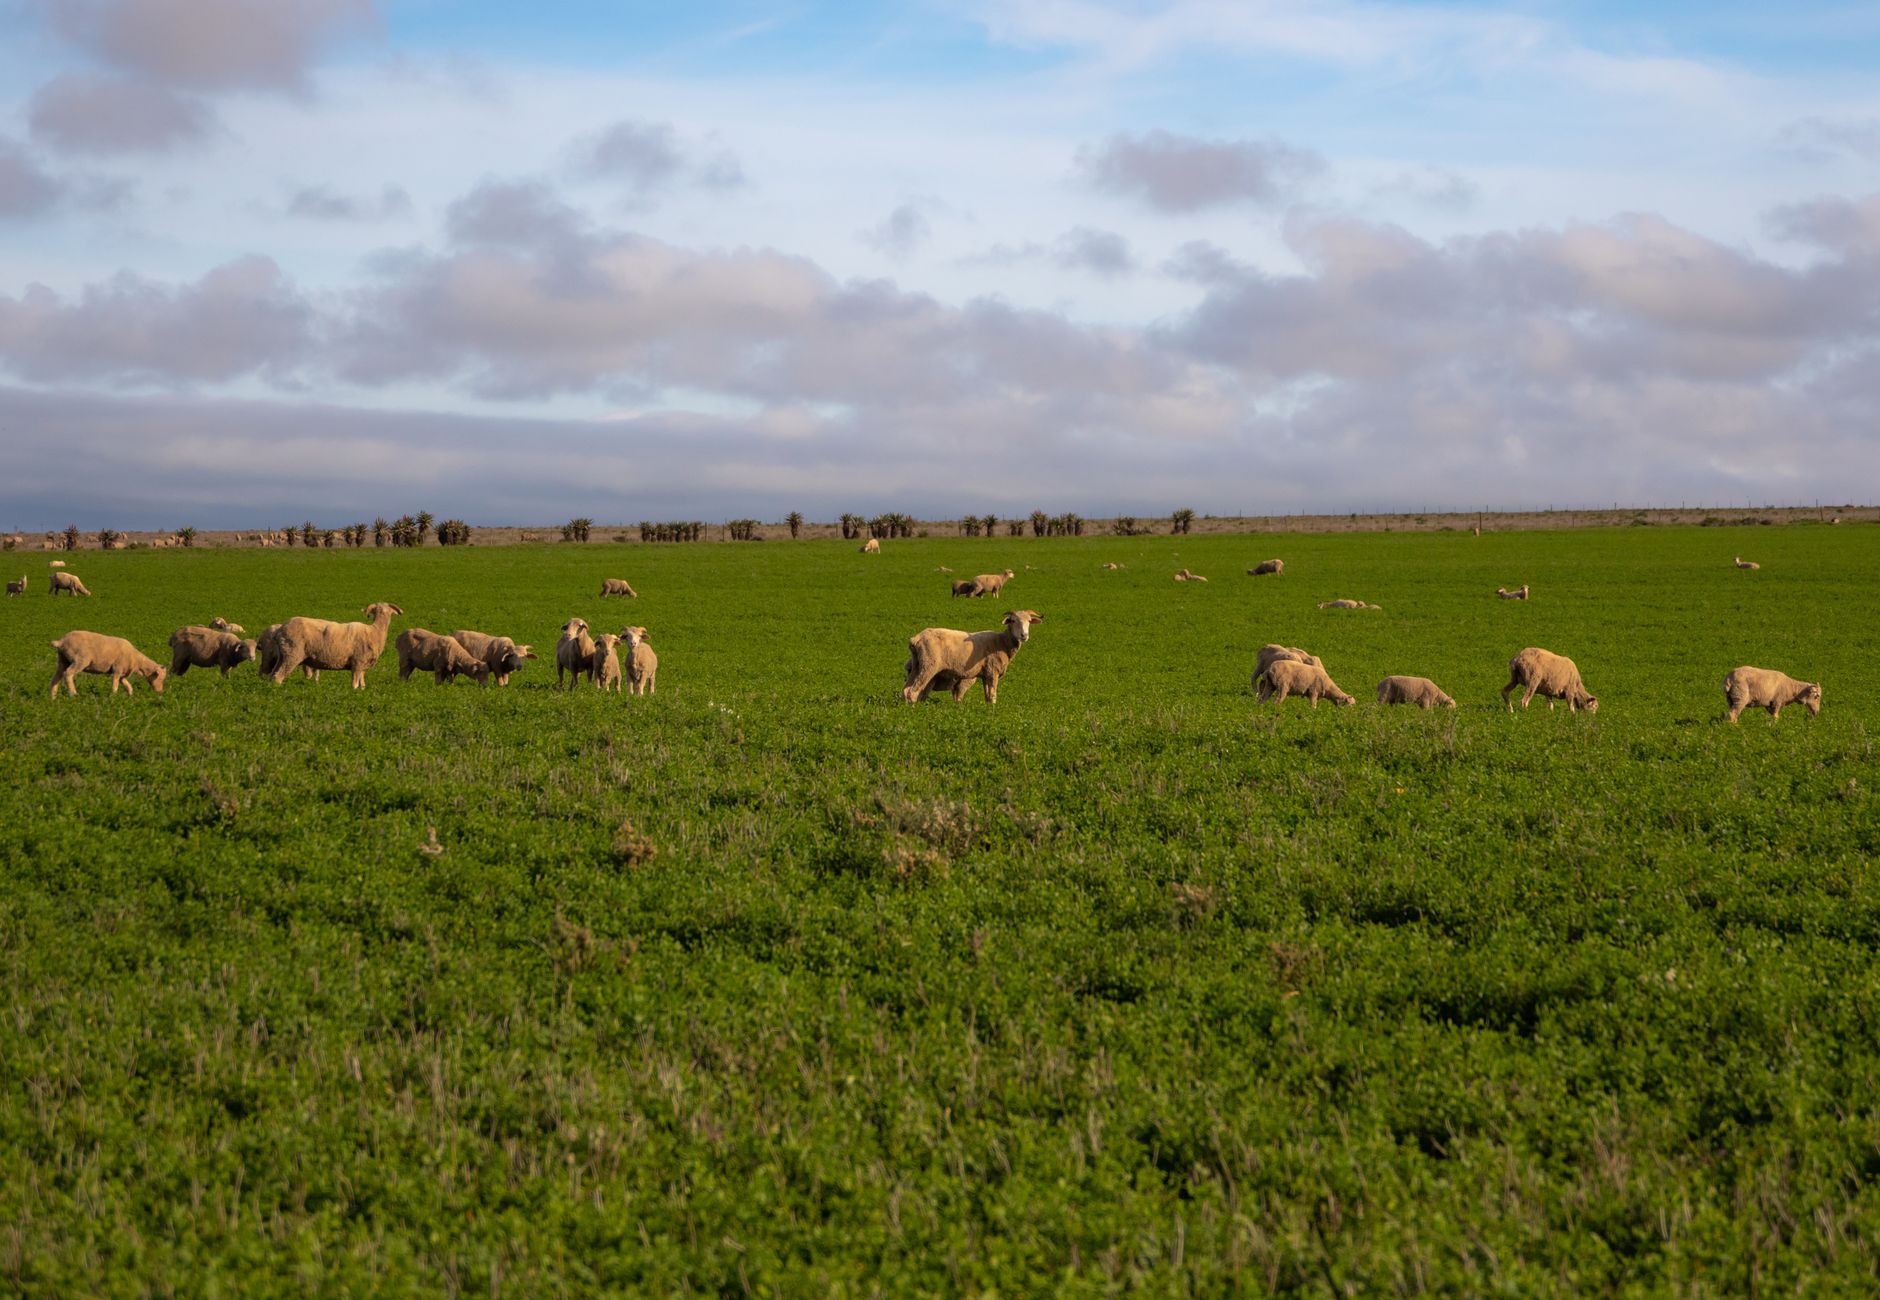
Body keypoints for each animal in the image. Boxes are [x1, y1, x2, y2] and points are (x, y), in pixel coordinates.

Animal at [265, 602, 403, 689]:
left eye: (389, 612)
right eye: (376, 610)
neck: (375, 631)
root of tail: (280, 630)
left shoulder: (362, 665)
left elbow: (362, 685)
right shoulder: (357, 662)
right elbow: (354, 684)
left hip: (283, 654)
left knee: (272, 675)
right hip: (292, 654)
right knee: (278, 676)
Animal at [903, 610, 1042, 704]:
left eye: (1029, 621)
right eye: (1013, 620)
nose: (1024, 635)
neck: (1002, 642)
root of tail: (916, 638)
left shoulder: (986, 674)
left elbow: (988, 697)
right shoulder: (993, 671)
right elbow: (993, 696)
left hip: (917, 664)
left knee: (905, 690)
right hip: (929, 664)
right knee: (912, 691)